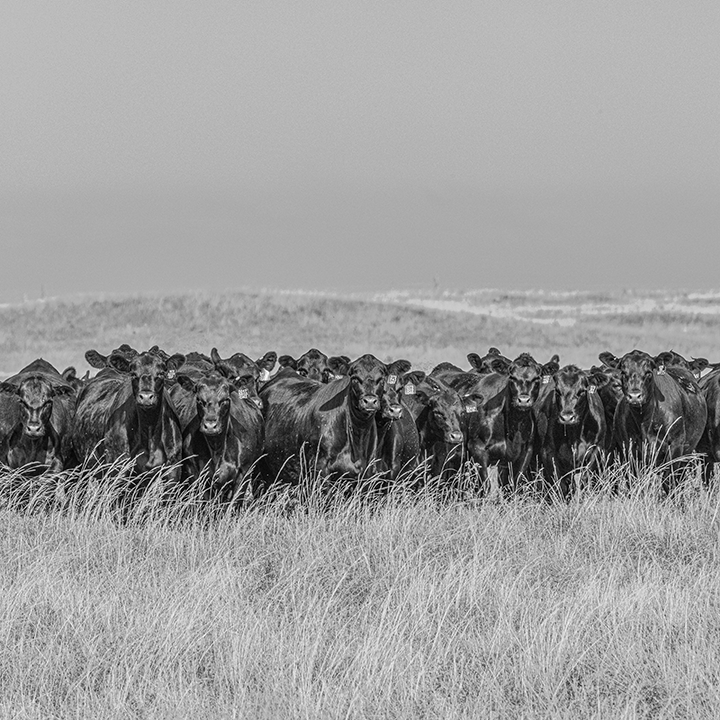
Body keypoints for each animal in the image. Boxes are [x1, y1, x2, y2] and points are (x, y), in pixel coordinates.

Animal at [535, 365, 609, 499]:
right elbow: (560, 484)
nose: (567, 417)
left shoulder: (597, 448)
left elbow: (584, 479)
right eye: (557, 391)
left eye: (582, 391)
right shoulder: (548, 452)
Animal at [599, 350, 707, 493]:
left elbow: (669, 482)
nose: (635, 396)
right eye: (623, 372)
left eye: (649, 372)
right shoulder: (630, 450)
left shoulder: (675, 446)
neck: (645, 419)